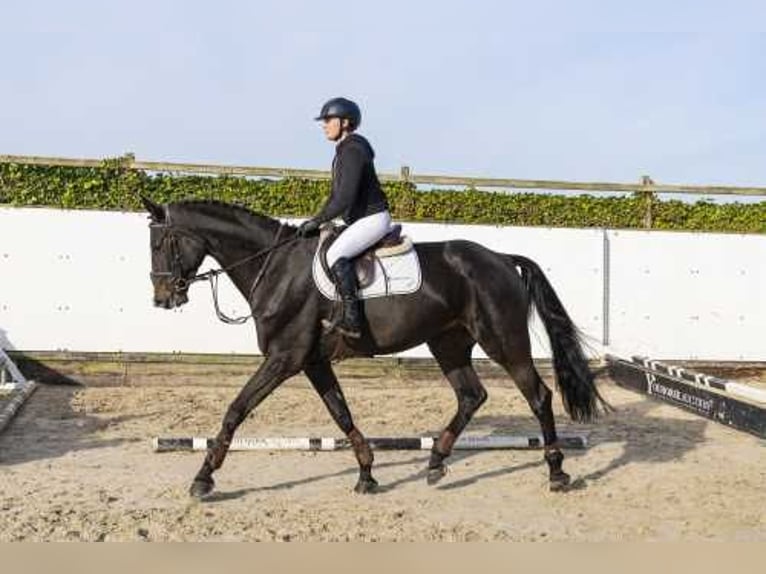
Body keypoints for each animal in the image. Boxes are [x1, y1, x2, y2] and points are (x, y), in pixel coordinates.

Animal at [142, 198, 612, 500]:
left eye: (161, 243)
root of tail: (499, 256)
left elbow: (236, 410)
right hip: (448, 343)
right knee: (471, 395)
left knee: (538, 396)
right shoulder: (312, 361)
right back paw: (435, 463)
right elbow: (341, 413)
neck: (274, 268)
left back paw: (557, 471)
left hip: (503, 341)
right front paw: (367, 473)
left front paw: (203, 479)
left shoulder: (284, 359)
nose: (163, 299)